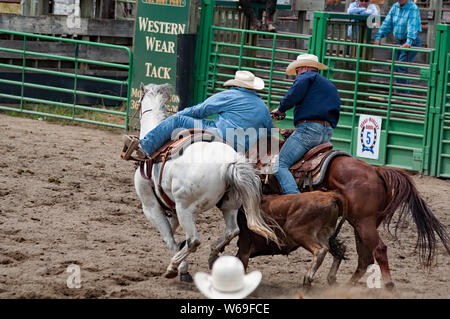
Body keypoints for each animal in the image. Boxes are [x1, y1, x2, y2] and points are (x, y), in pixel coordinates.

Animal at [133, 84, 278, 282]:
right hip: (229, 205)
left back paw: (174, 265)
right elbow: (171, 232)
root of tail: (230, 163)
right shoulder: (172, 209)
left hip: (185, 208)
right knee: (232, 231)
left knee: (194, 241)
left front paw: (180, 268)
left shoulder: (150, 207)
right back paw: (213, 255)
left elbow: (169, 237)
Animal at [264, 154, 450, 290]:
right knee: (365, 257)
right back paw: (347, 285)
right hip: (361, 224)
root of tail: (377, 171)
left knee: (378, 250)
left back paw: (388, 285)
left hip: (364, 223)